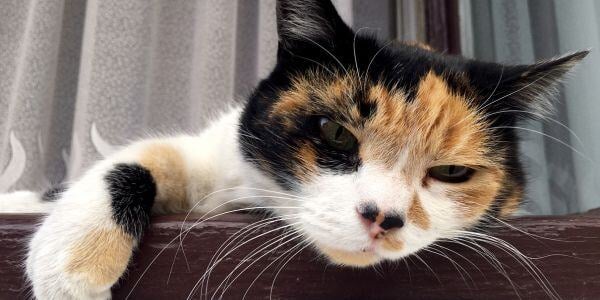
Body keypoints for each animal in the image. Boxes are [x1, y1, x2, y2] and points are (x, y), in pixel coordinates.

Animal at [11, 0, 584, 298]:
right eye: (335, 134)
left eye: (450, 172)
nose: (384, 218)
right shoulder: (212, 158)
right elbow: (149, 155)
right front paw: (70, 262)